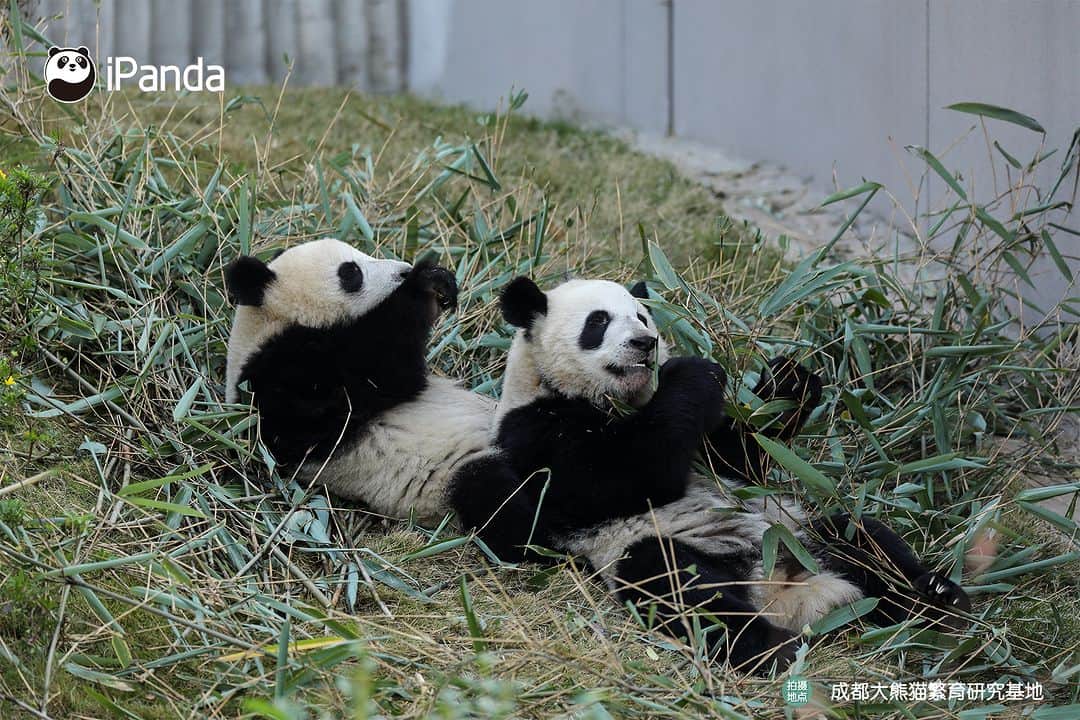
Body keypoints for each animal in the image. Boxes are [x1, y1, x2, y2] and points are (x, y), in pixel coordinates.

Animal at [225, 238, 496, 523]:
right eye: (351, 272)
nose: (403, 271)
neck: (269, 323)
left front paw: (438, 279)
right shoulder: (281, 387)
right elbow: (379, 375)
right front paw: (423, 284)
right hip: (452, 475)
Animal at [450, 276, 971, 673]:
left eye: (643, 317)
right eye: (598, 322)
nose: (645, 344)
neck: (606, 401)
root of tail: (783, 588)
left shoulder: (712, 452)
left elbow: (739, 459)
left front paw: (789, 379)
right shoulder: (534, 431)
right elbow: (614, 480)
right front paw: (695, 370)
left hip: (798, 531)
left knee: (864, 538)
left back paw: (939, 600)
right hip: (668, 550)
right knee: (679, 585)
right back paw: (773, 649)